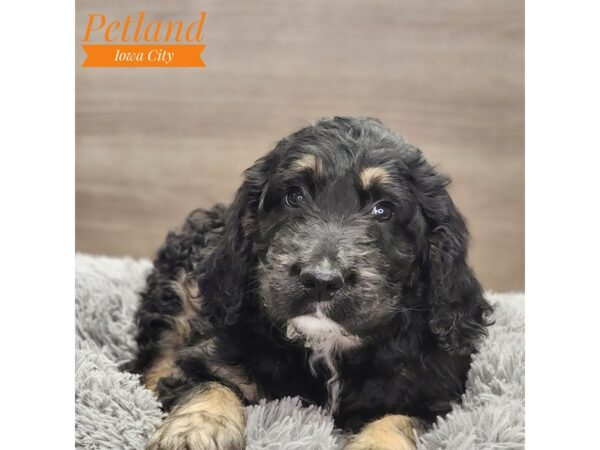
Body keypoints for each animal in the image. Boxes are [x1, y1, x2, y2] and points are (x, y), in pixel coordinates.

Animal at [126, 117, 492, 450]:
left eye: (383, 210)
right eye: (294, 196)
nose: (320, 281)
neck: (327, 345)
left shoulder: (433, 395)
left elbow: (396, 419)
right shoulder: (216, 353)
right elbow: (209, 384)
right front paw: (195, 431)